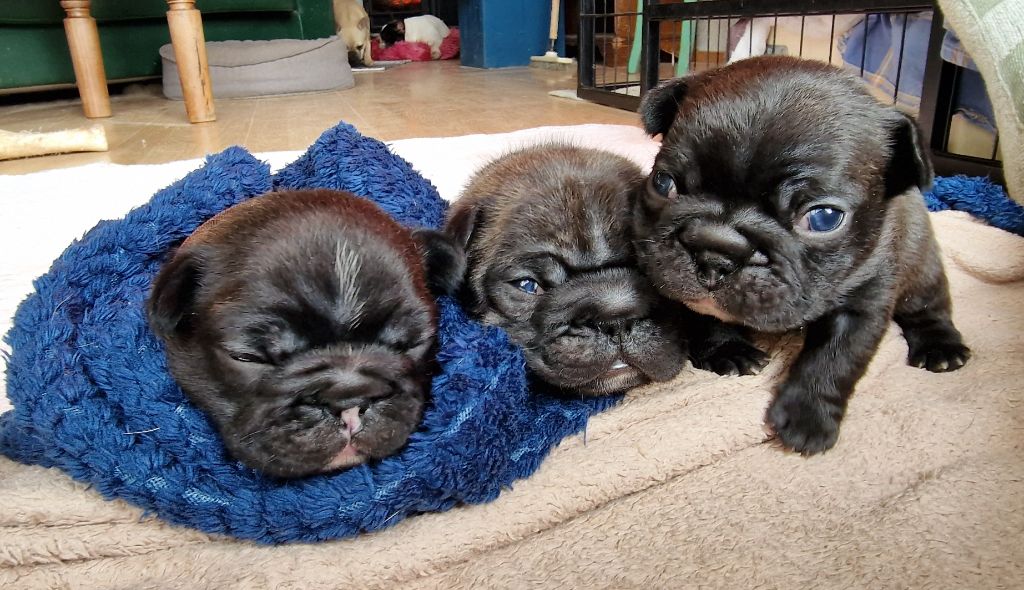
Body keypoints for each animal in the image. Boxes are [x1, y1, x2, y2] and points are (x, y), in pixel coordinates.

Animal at [634, 55, 970, 454]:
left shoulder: (864, 303)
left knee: (930, 308)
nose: (715, 250)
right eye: (663, 183)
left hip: (922, 268)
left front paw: (808, 417)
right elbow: (705, 317)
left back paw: (942, 348)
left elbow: (835, 358)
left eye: (824, 218)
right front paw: (728, 349)